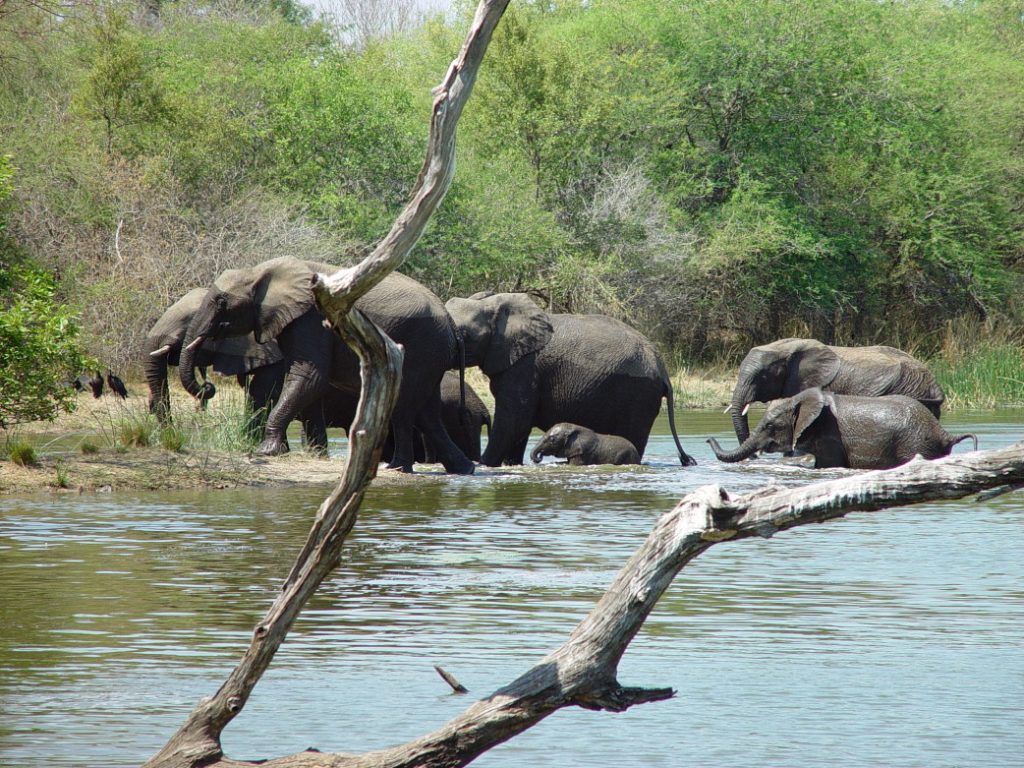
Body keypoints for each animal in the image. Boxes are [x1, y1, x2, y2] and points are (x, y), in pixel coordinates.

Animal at [178, 259, 473, 475]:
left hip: (422, 346)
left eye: (221, 302)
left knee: (404, 406)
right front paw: (293, 452)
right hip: (430, 354)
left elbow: (310, 377)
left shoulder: (312, 318)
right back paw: (462, 469)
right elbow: (306, 382)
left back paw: (397, 467)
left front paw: (267, 451)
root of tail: (450, 320)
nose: (208, 386)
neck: (259, 271)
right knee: (426, 411)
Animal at [442, 290, 696, 466]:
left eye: (463, 335)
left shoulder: (525, 368)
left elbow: (514, 420)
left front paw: (483, 465)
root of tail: (663, 370)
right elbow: (519, 425)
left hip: (639, 395)